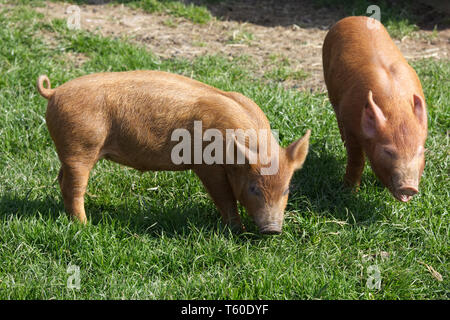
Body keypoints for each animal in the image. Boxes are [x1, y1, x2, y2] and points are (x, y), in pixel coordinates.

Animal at [37, 71, 310, 234]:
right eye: (254, 188)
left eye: (286, 190)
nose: (273, 230)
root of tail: (54, 92)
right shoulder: (206, 165)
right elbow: (224, 197)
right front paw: (238, 232)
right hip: (80, 145)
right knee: (73, 186)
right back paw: (85, 226)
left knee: (61, 179)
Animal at [322, 16, 428, 201]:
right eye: (388, 151)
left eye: (419, 152)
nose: (409, 187)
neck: (396, 105)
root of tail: (354, 17)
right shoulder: (351, 124)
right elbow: (357, 160)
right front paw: (349, 192)